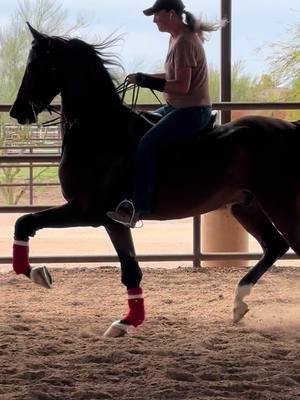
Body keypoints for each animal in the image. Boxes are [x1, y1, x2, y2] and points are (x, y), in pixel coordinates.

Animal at [9, 24, 300, 338]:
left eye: (35, 65)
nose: (16, 112)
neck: (100, 133)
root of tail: (291, 129)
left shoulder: (86, 211)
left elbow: (25, 222)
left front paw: (39, 274)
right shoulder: (113, 221)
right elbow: (131, 271)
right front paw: (126, 321)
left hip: (281, 205)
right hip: (245, 206)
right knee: (274, 246)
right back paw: (238, 304)